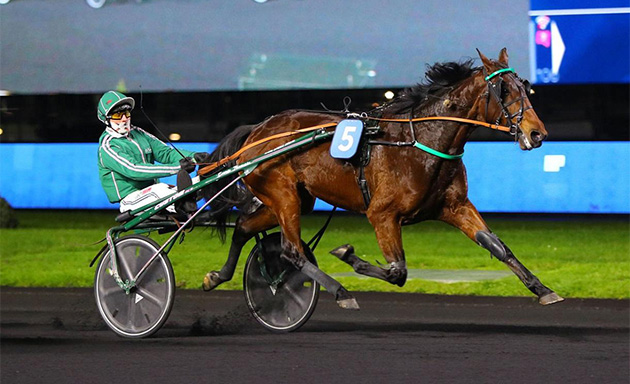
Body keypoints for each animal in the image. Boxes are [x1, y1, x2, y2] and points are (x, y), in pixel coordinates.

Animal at [200, 48, 564, 308]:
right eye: (504, 90)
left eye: (525, 87)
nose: (538, 133)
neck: (423, 140)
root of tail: (257, 130)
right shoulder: (382, 214)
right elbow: (397, 271)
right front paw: (347, 255)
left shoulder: (455, 206)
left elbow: (498, 247)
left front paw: (543, 288)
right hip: (283, 194)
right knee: (292, 251)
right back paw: (340, 291)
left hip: (296, 199)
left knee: (244, 227)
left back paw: (218, 276)